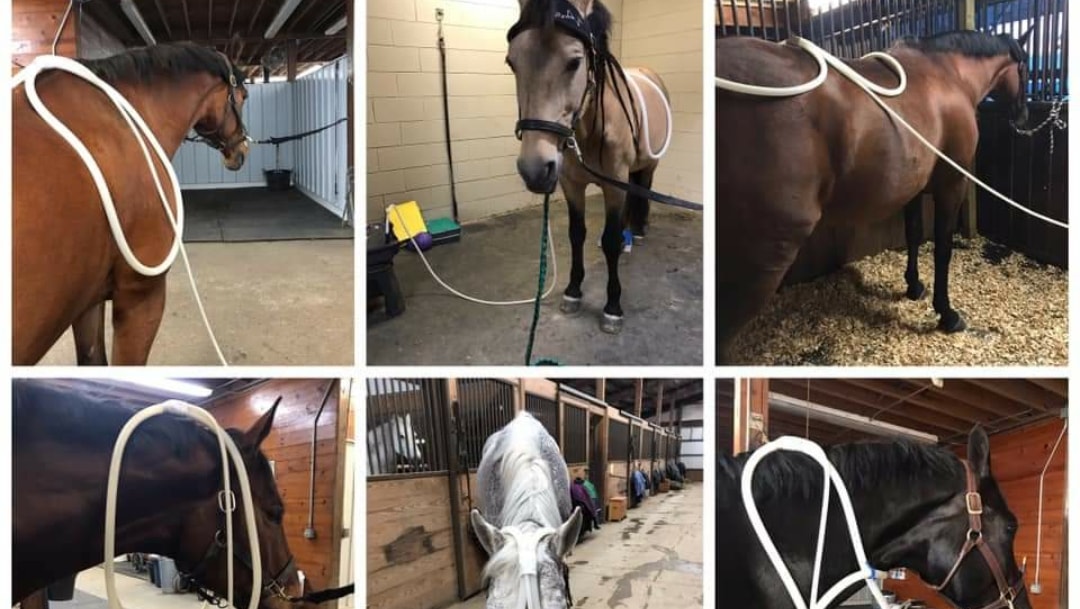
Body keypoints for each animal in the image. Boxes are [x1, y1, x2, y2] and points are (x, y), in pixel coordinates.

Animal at [507, 0, 673, 334]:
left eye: (574, 62)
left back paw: (638, 230)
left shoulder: (613, 185)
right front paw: (573, 292)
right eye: (511, 62)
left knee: (643, 190)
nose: (534, 169)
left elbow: (608, 241)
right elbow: (576, 234)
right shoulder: (571, 185)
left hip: (648, 166)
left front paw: (612, 307)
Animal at [715, 30, 1034, 362]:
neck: (948, 75)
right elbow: (943, 249)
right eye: (1025, 68)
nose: (1023, 117)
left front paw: (914, 286)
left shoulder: (914, 187)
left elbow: (913, 234)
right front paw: (947, 314)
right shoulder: (952, 185)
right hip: (763, 259)